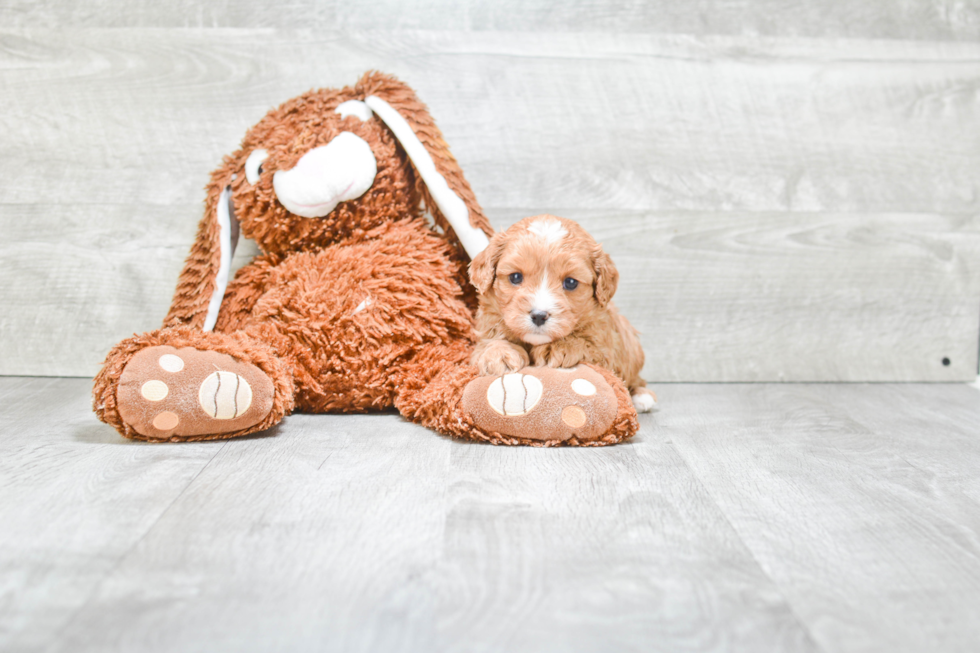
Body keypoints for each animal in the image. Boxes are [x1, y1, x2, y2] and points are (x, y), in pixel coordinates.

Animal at [468, 215, 656, 412]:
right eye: (515, 277)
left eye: (571, 282)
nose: (539, 315)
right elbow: (490, 341)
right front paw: (498, 353)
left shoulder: (605, 349)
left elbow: (588, 345)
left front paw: (559, 347)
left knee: (636, 379)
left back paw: (642, 397)